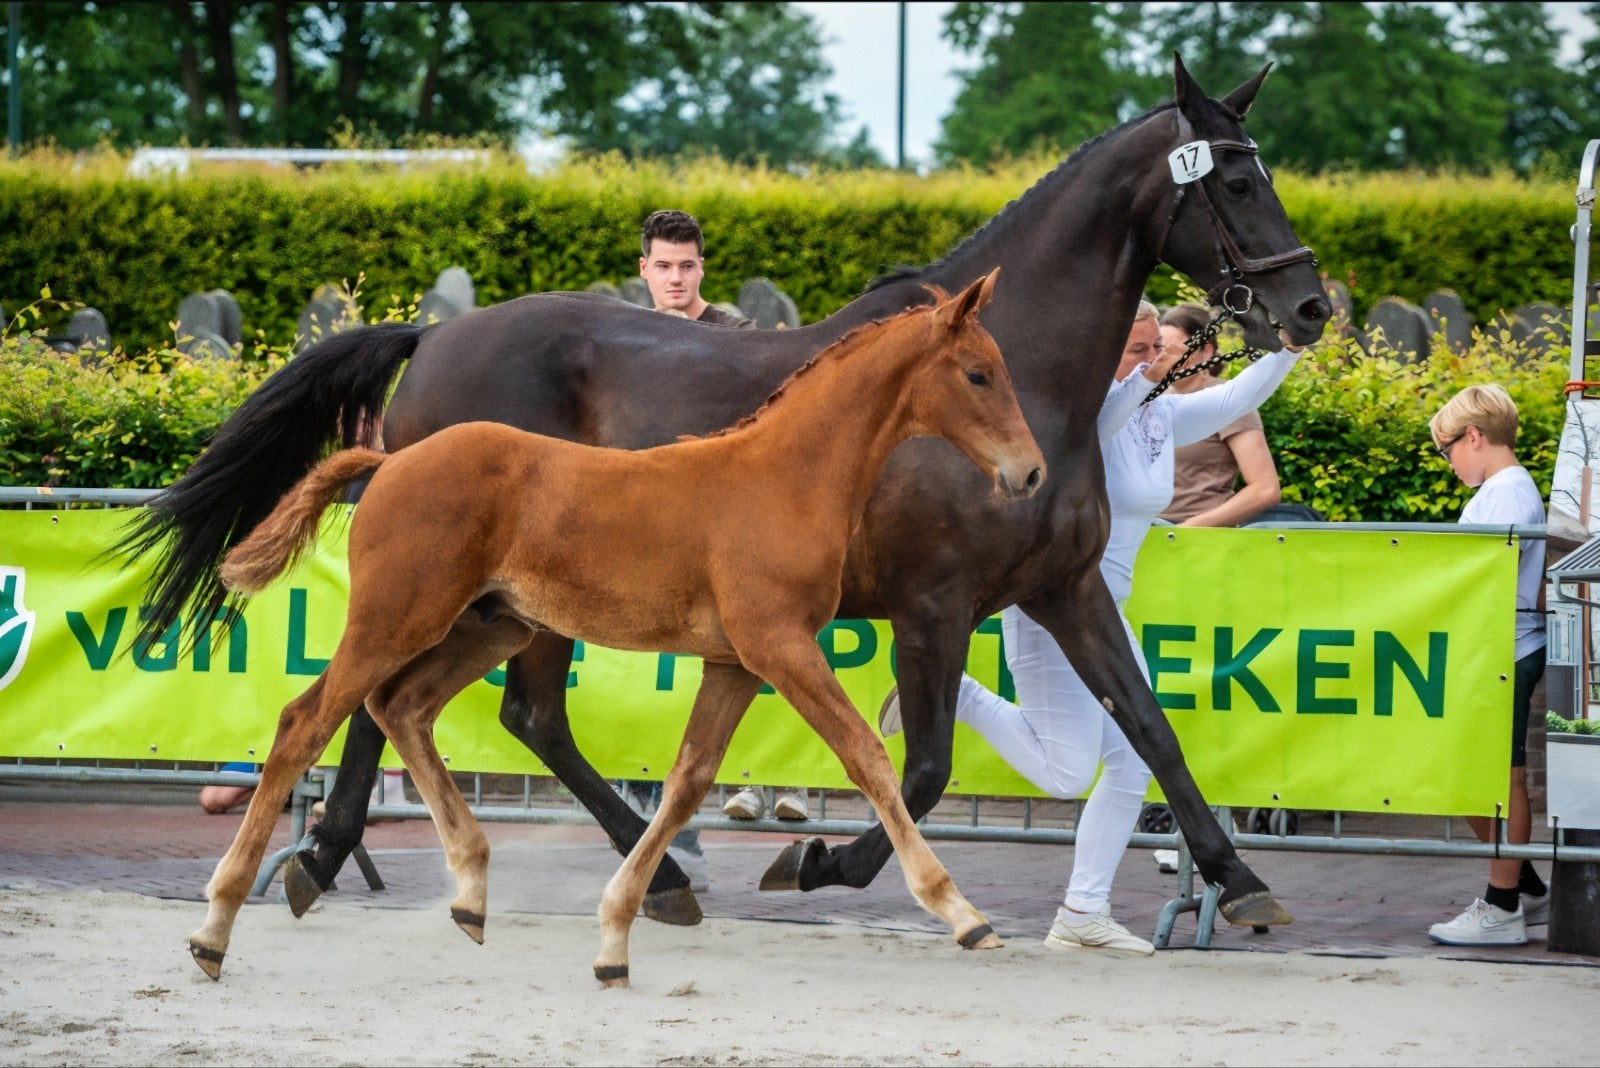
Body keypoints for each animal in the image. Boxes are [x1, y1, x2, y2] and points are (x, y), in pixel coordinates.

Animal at [186, 273, 1041, 984]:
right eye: (978, 373)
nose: (1029, 473)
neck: (783, 477)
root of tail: (387, 462)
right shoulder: (780, 645)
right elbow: (868, 756)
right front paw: (960, 912)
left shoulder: (736, 663)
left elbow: (688, 782)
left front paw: (618, 936)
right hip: (398, 617)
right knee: (306, 721)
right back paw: (217, 926)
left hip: (489, 630)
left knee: (403, 708)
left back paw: (469, 890)